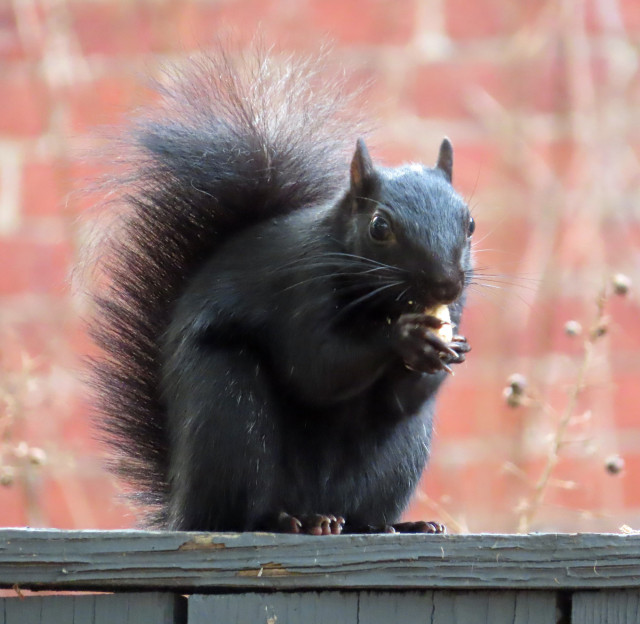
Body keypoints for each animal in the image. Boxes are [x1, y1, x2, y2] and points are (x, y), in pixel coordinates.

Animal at [82, 50, 472, 536]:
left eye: (470, 223)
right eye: (380, 227)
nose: (446, 283)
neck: (381, 302)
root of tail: (181, 506)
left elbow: (399, 398)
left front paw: (451, 346)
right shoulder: (299, 290)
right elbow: (316, 367)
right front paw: (403, 337)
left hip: (401, 456)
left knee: (365, 515)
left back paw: (399, 526)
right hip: (228, 411)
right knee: (235, 514)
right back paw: (291, 520)